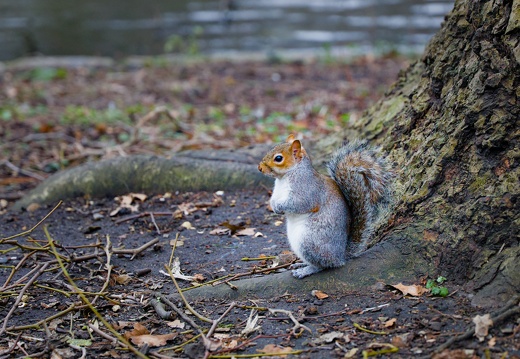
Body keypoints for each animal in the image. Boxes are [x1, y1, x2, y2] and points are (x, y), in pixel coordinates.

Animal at [258, 135, 396, 278]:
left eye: (278, 158)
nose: (259, 168)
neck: (286, 176)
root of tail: (341, 256)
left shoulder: (306, 190)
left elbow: (300, 204)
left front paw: (279, 207)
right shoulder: (277, 192)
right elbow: (273, 199)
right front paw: (274, 205)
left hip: (310, 242)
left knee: (324, 265)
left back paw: (306, 270)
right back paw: (300, 264)